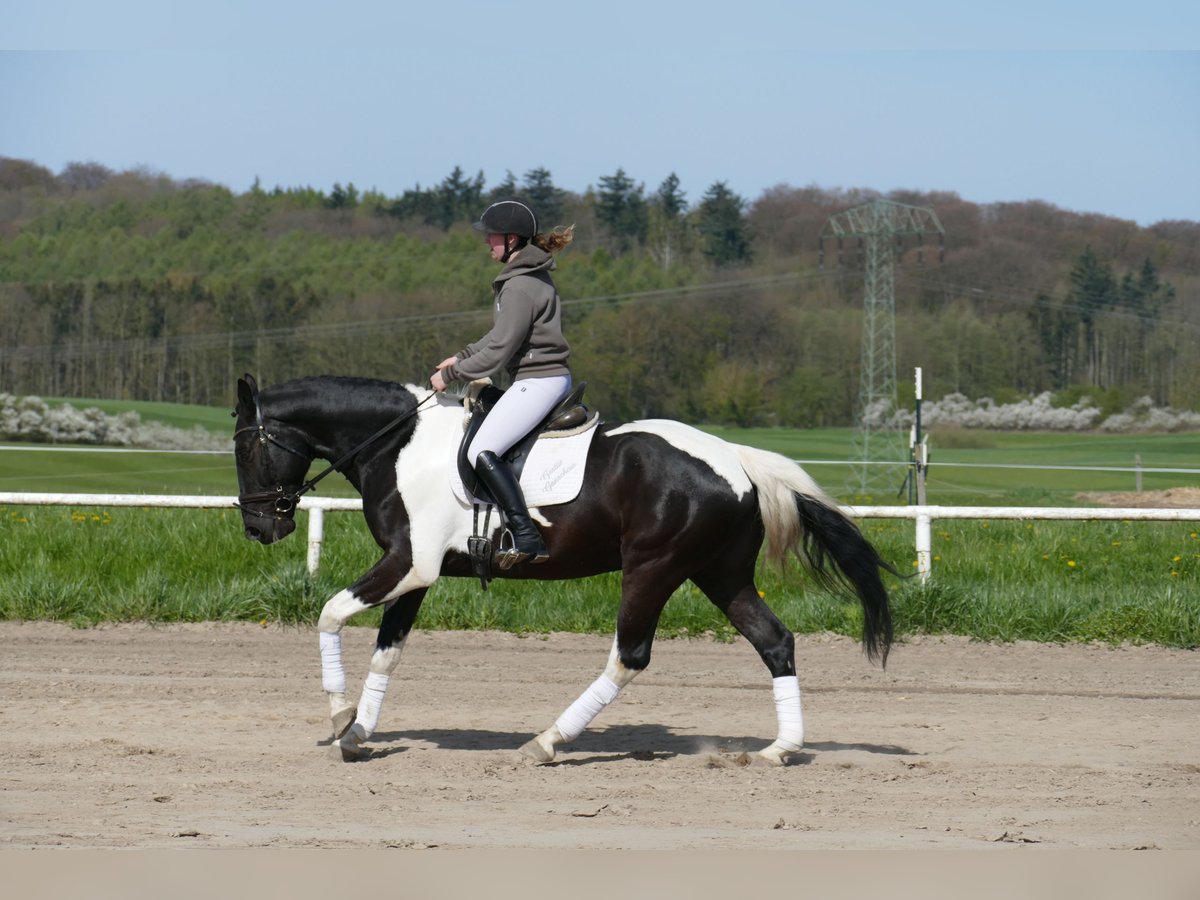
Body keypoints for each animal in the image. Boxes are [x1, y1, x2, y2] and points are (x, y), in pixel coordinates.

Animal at [229, 374, 897, 768]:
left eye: (244, 446)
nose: (259, 528)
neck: (399, 443)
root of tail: (734, 458)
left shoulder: (406, 564)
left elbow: (329, 614)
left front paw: (340, 717)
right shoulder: (418, 573)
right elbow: (387, 653)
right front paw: (359, 731)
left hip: (652, 569)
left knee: (629, 657)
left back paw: (548, 741)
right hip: (719, 574)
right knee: (775, 641)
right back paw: (781, 748)